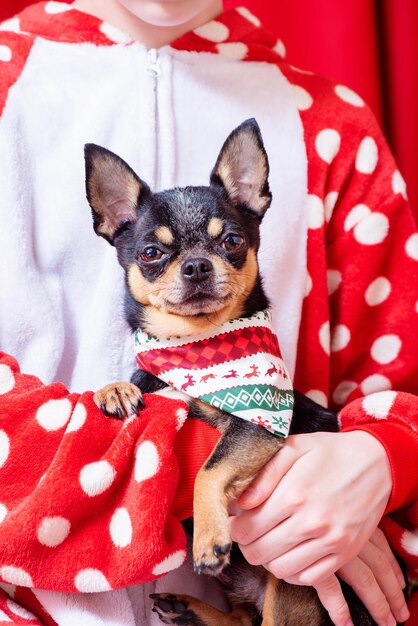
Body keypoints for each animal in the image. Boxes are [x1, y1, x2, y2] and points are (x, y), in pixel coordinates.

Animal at [84, 119, 378, 620]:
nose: (197, 265)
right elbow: (140, 380)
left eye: (233, 241)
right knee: (241, 617)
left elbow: (208, 468)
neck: (195, 346)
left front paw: (208, 538)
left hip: (293, 587)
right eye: (150, 253)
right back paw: (186, 608)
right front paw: (115, 388)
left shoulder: (258, 428)